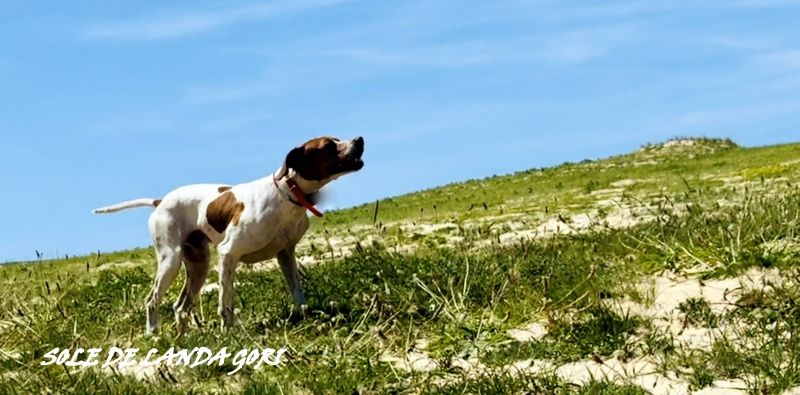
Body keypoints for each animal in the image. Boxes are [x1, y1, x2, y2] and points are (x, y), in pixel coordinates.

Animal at [94, 136, 366, 334]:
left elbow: (298, 292)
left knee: (180, 307)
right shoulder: (228, 254)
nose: (359, 139)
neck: (286, 195)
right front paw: (229, 333)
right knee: (152, 301)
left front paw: (307, 316)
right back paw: (154, 334)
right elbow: (226, 302)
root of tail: (160, 201)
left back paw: (183, 337)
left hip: (198, 266)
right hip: (170, 262)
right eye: (328, 145)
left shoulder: (285, 255)